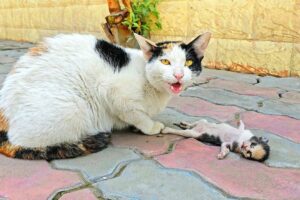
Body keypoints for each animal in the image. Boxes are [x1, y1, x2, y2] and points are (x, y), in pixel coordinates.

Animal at [0, 33, 211, 161]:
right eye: (165, 62)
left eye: (188, 63)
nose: (178, 75)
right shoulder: (113, 92)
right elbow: (136, 115)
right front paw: (150, 126)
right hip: (74, 107)